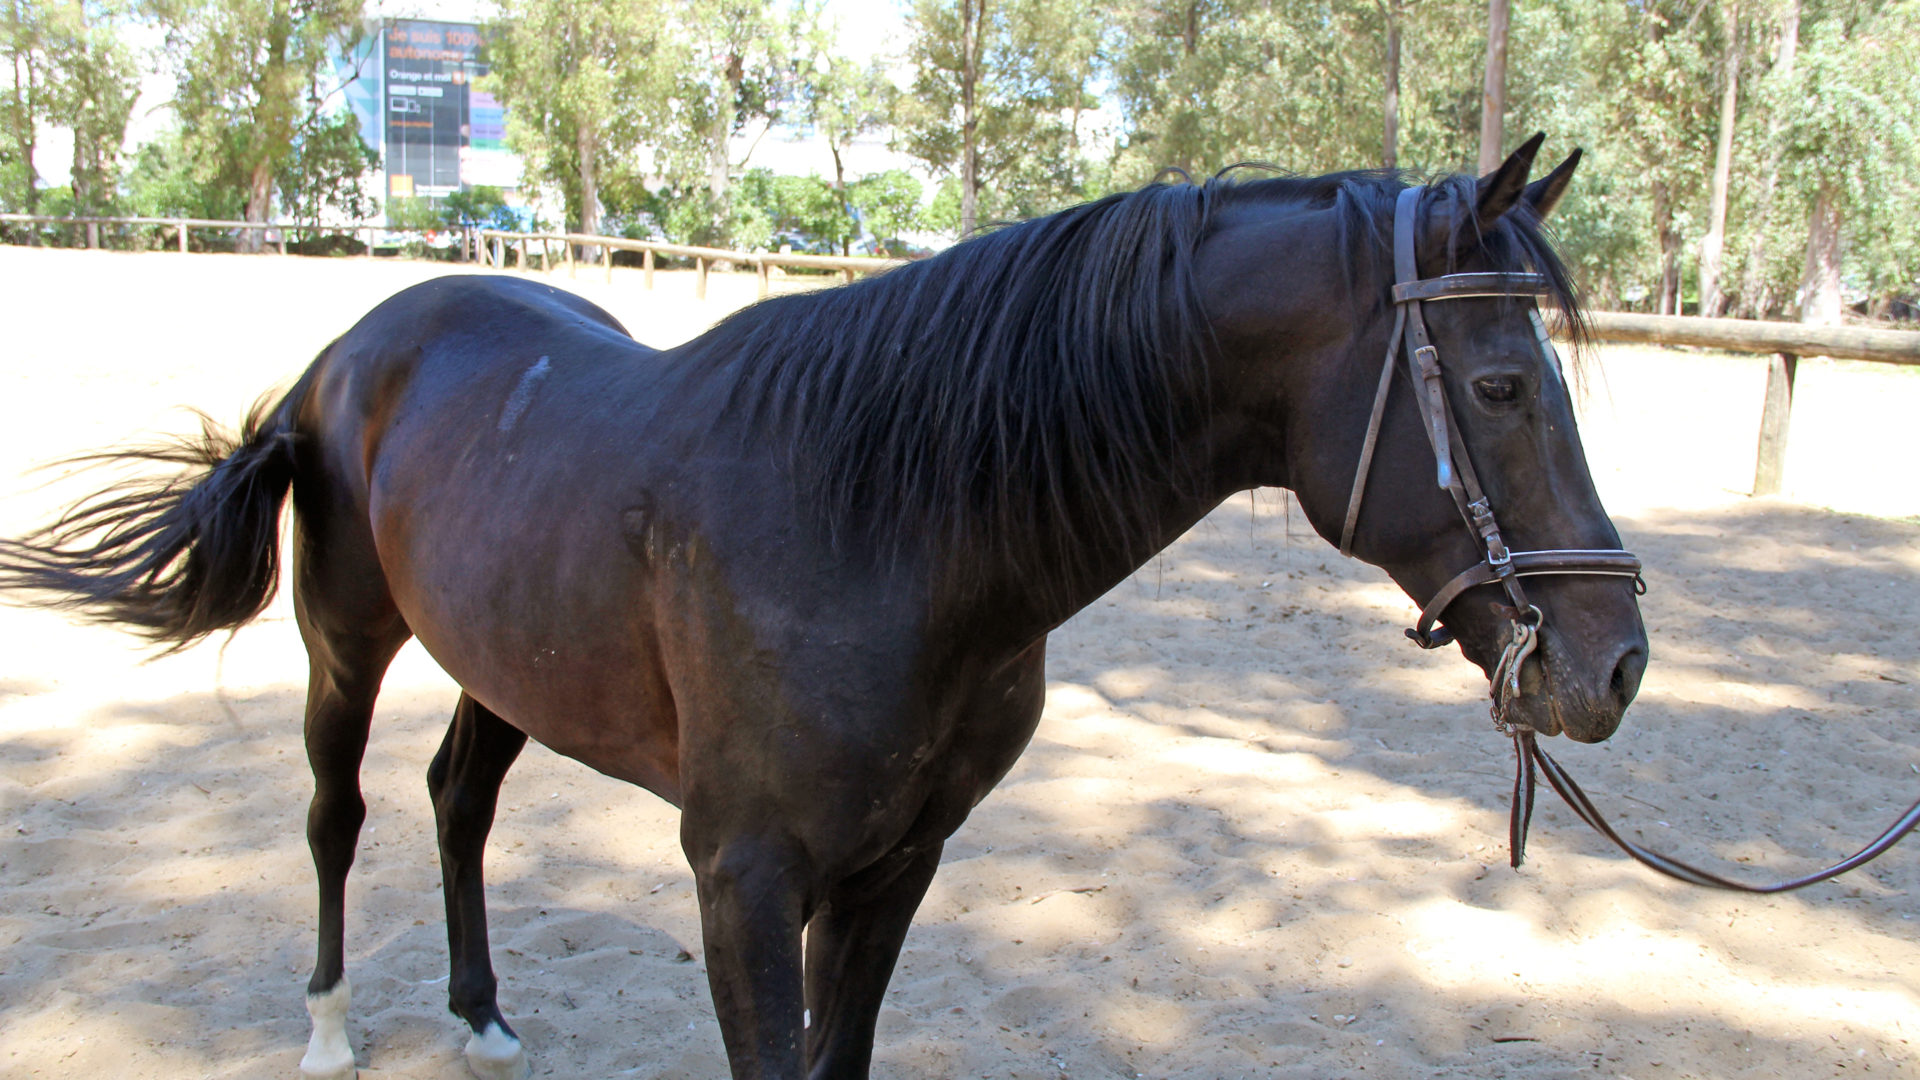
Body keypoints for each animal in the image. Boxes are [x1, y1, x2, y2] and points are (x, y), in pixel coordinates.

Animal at [3, 136, 1651, 1076]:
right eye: (1501, 387)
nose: (1617, 660)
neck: (884, 523)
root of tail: (349, 350)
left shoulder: (893, 870)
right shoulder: (742, 876)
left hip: (505, 666)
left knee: (458, 802)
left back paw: (480, 1015)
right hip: (345, 646)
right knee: (338, 819)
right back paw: (332, 1030)